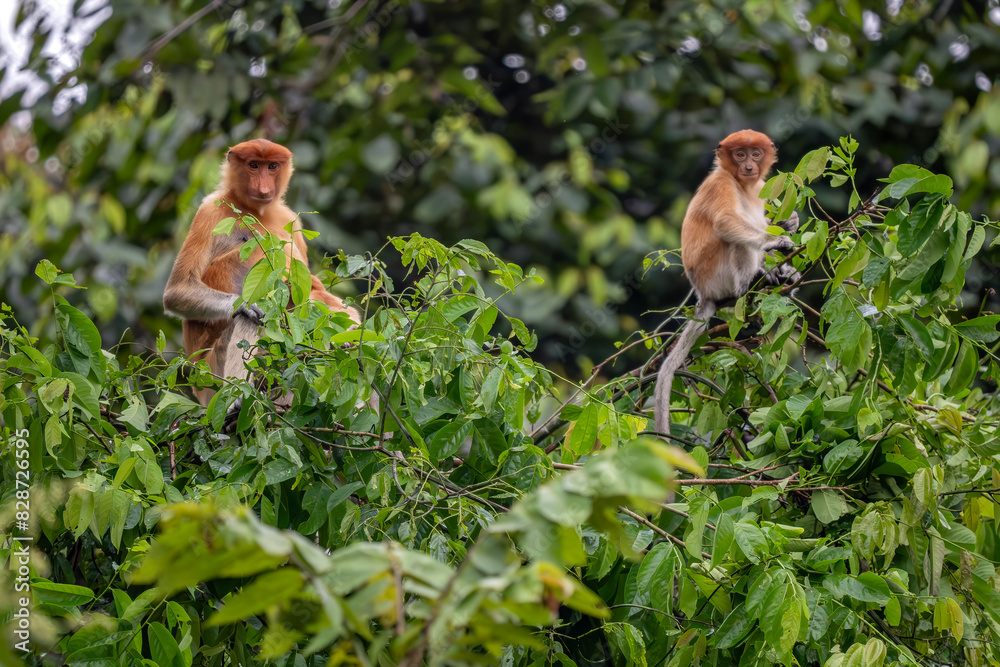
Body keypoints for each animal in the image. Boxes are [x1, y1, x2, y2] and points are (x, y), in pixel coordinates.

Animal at [164, 138, 360, 407]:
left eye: (272, 166)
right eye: (253, 165)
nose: (264, 188)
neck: (254, 209)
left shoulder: (292, 221)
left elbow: (313, 291)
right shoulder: (209, 211)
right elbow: (177, 290)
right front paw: (248, 306)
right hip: (210, 377)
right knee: (250, 318)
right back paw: (236, 400)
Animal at [653, 130, 799, 438]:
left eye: (755, 153)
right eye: (740, 154)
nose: (749, 167)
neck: (741, 184)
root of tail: (702, 293)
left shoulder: (760, 187)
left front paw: (789, 222)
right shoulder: (719, 183)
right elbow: (725, 221)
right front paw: (780, 239)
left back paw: (783, 278)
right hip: (716, 278)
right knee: (736, 239)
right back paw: (752, 283)